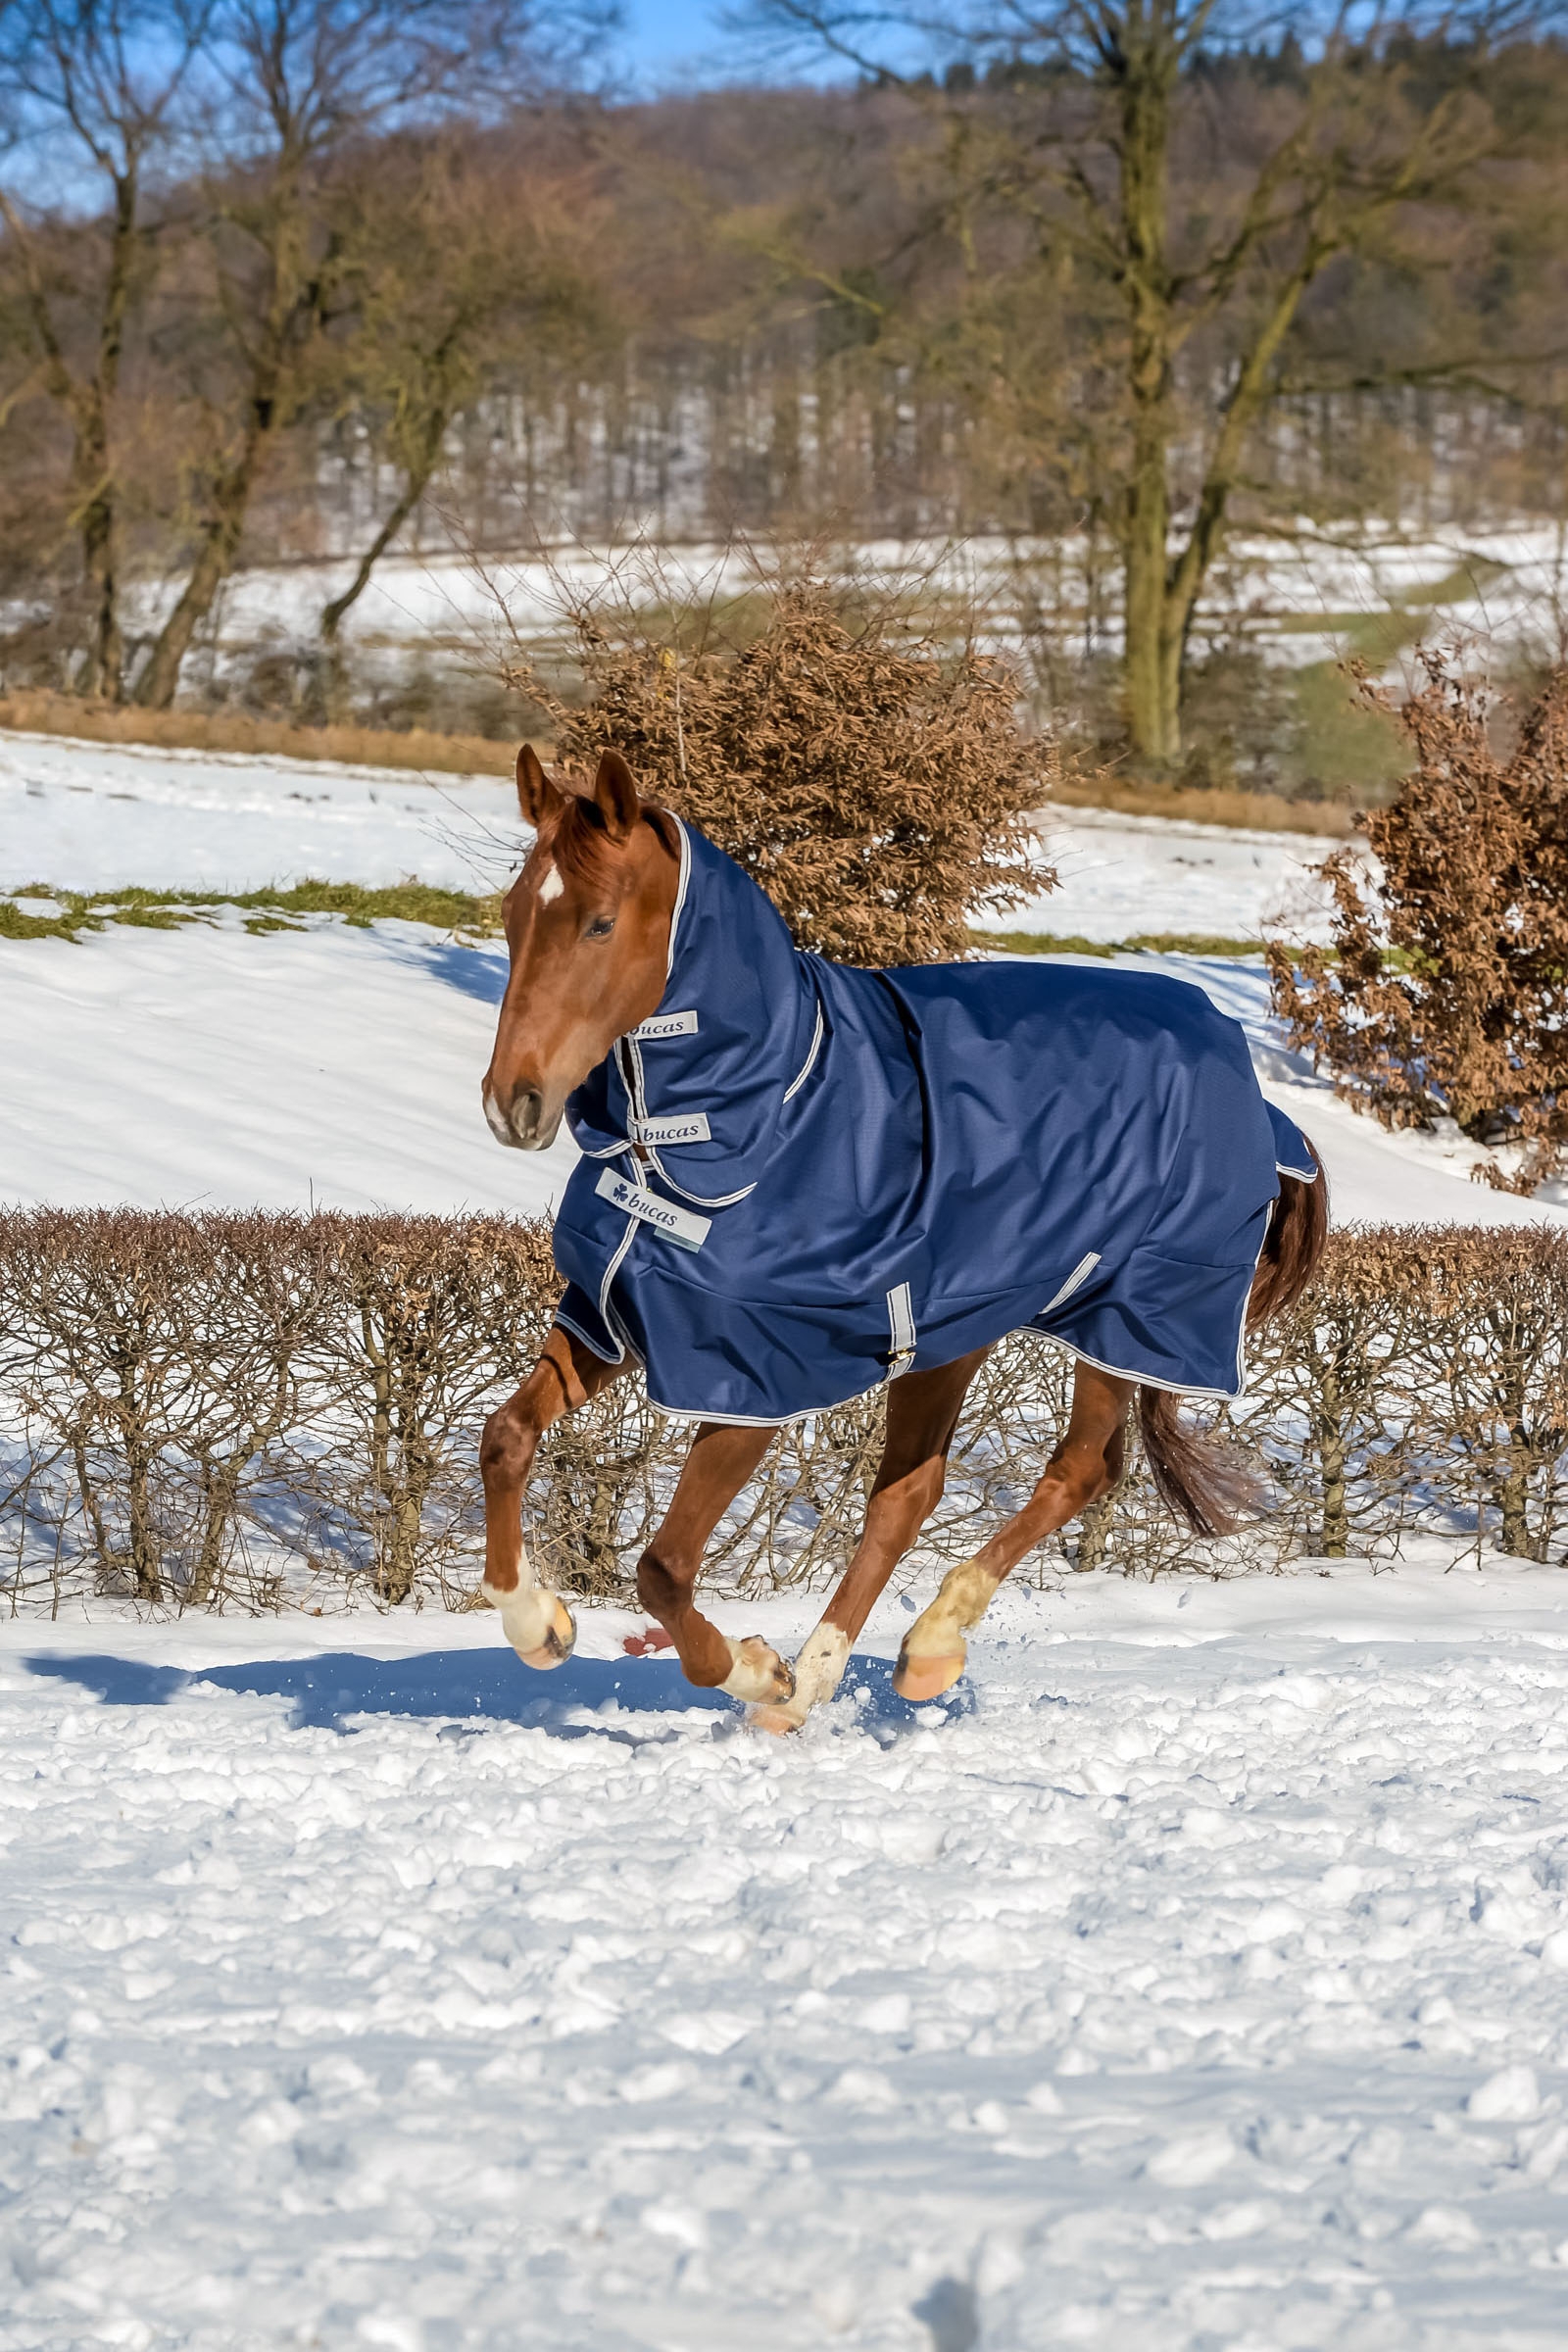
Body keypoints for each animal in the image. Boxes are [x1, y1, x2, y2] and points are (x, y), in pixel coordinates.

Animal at [478, 744, 1328, 1731]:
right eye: (513, 915)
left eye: (601, 922)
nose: (513, 1103)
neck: (761, 1115)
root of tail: (1248, 1081)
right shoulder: (612, 1315)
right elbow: (505, 1439)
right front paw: (540, 1624)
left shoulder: (750, 1382)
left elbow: (662, 1570)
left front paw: (754, 1668)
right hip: (946, 1333)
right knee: (909, 1494)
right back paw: (819, 1679)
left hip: (1128, 1320)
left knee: (1081, 1469)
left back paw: (920, 1649)